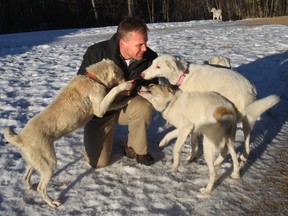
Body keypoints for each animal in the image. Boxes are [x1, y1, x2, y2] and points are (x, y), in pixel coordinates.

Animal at [3, 58, 134, 208]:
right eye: (122, 74)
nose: (129, 80)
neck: (93, 78)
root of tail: (21, 138)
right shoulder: (99, 109)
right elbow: (113, 92)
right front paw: (125, 87)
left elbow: (117, 102)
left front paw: (128, 99)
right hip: (49, 163)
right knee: (41, 188)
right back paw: (52, 202)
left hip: (36, 162)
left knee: (26, 177)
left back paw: (30, 187)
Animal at [141, 54, 280, 164]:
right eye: (152, 63)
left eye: (158, 67)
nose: (142, 74)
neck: (183, 75)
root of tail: (251, 88)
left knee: (239, 143)